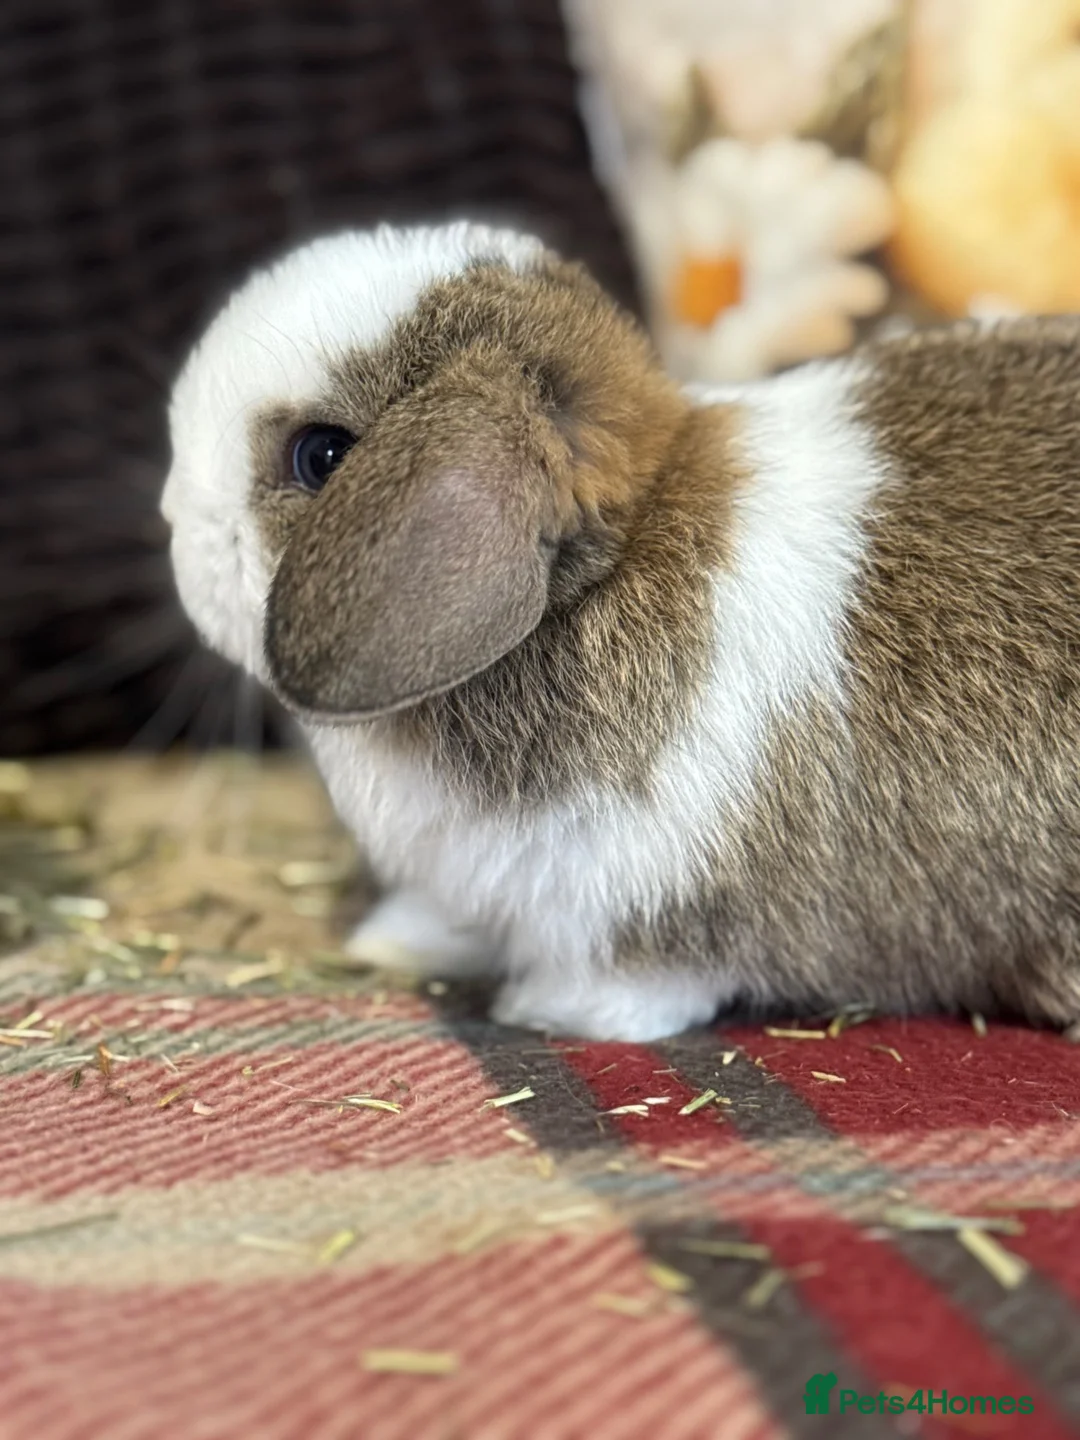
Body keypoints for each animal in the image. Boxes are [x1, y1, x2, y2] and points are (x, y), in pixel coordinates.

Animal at [162, 220, 1080, 1042]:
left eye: (321, 456)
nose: (173, 514)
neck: (603, 578)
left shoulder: (655, 910)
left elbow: (641, 978)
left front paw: (545, 1011)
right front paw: (392, 940)